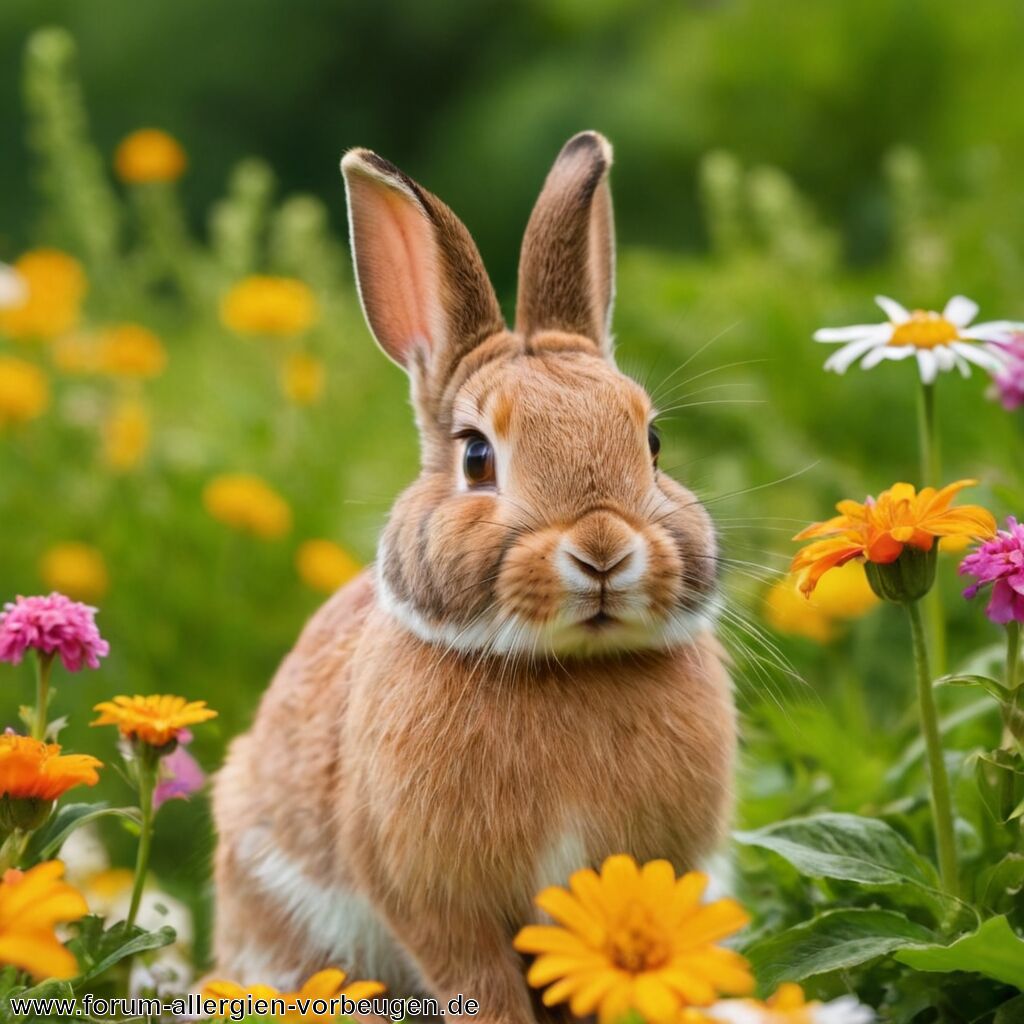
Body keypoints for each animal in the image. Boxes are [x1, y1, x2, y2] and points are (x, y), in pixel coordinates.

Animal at [212, 130, 736, 1020]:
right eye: (477, 457)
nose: (603, 549)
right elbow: (478, 983)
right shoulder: (431, 899)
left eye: (653, 443)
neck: (564, 670)